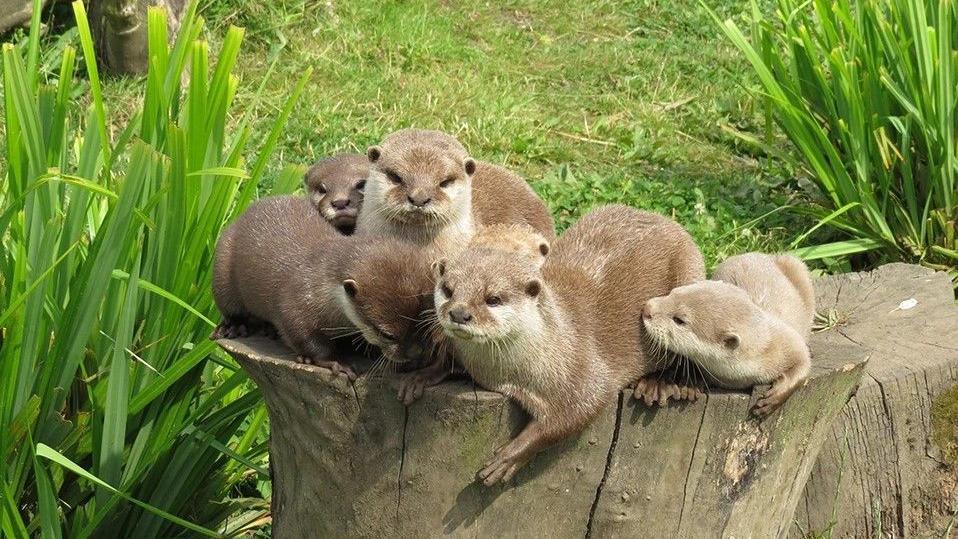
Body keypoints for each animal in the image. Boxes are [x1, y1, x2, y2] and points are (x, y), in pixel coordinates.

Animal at [213, 196, 436, 378]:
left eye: (422, 322)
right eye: (387, 334)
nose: (415, 353)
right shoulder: (295, 305)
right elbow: (305, 337)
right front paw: (336, 362)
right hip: (222, 272)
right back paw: (234, 327)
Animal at [436, 206, 704, 486]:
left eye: (493, 299)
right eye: (448, 289)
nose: (459, 313)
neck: (511, 375)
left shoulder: (583, 370)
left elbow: (573, 415)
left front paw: (509, 457)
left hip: (689, 272)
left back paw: (658, 384)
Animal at [644, 253, 816, 418]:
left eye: (679, 320)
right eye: (672, 292)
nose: (647, 308)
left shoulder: (788, 339)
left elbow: (804, 363)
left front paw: (774, 398)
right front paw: (684, 385)